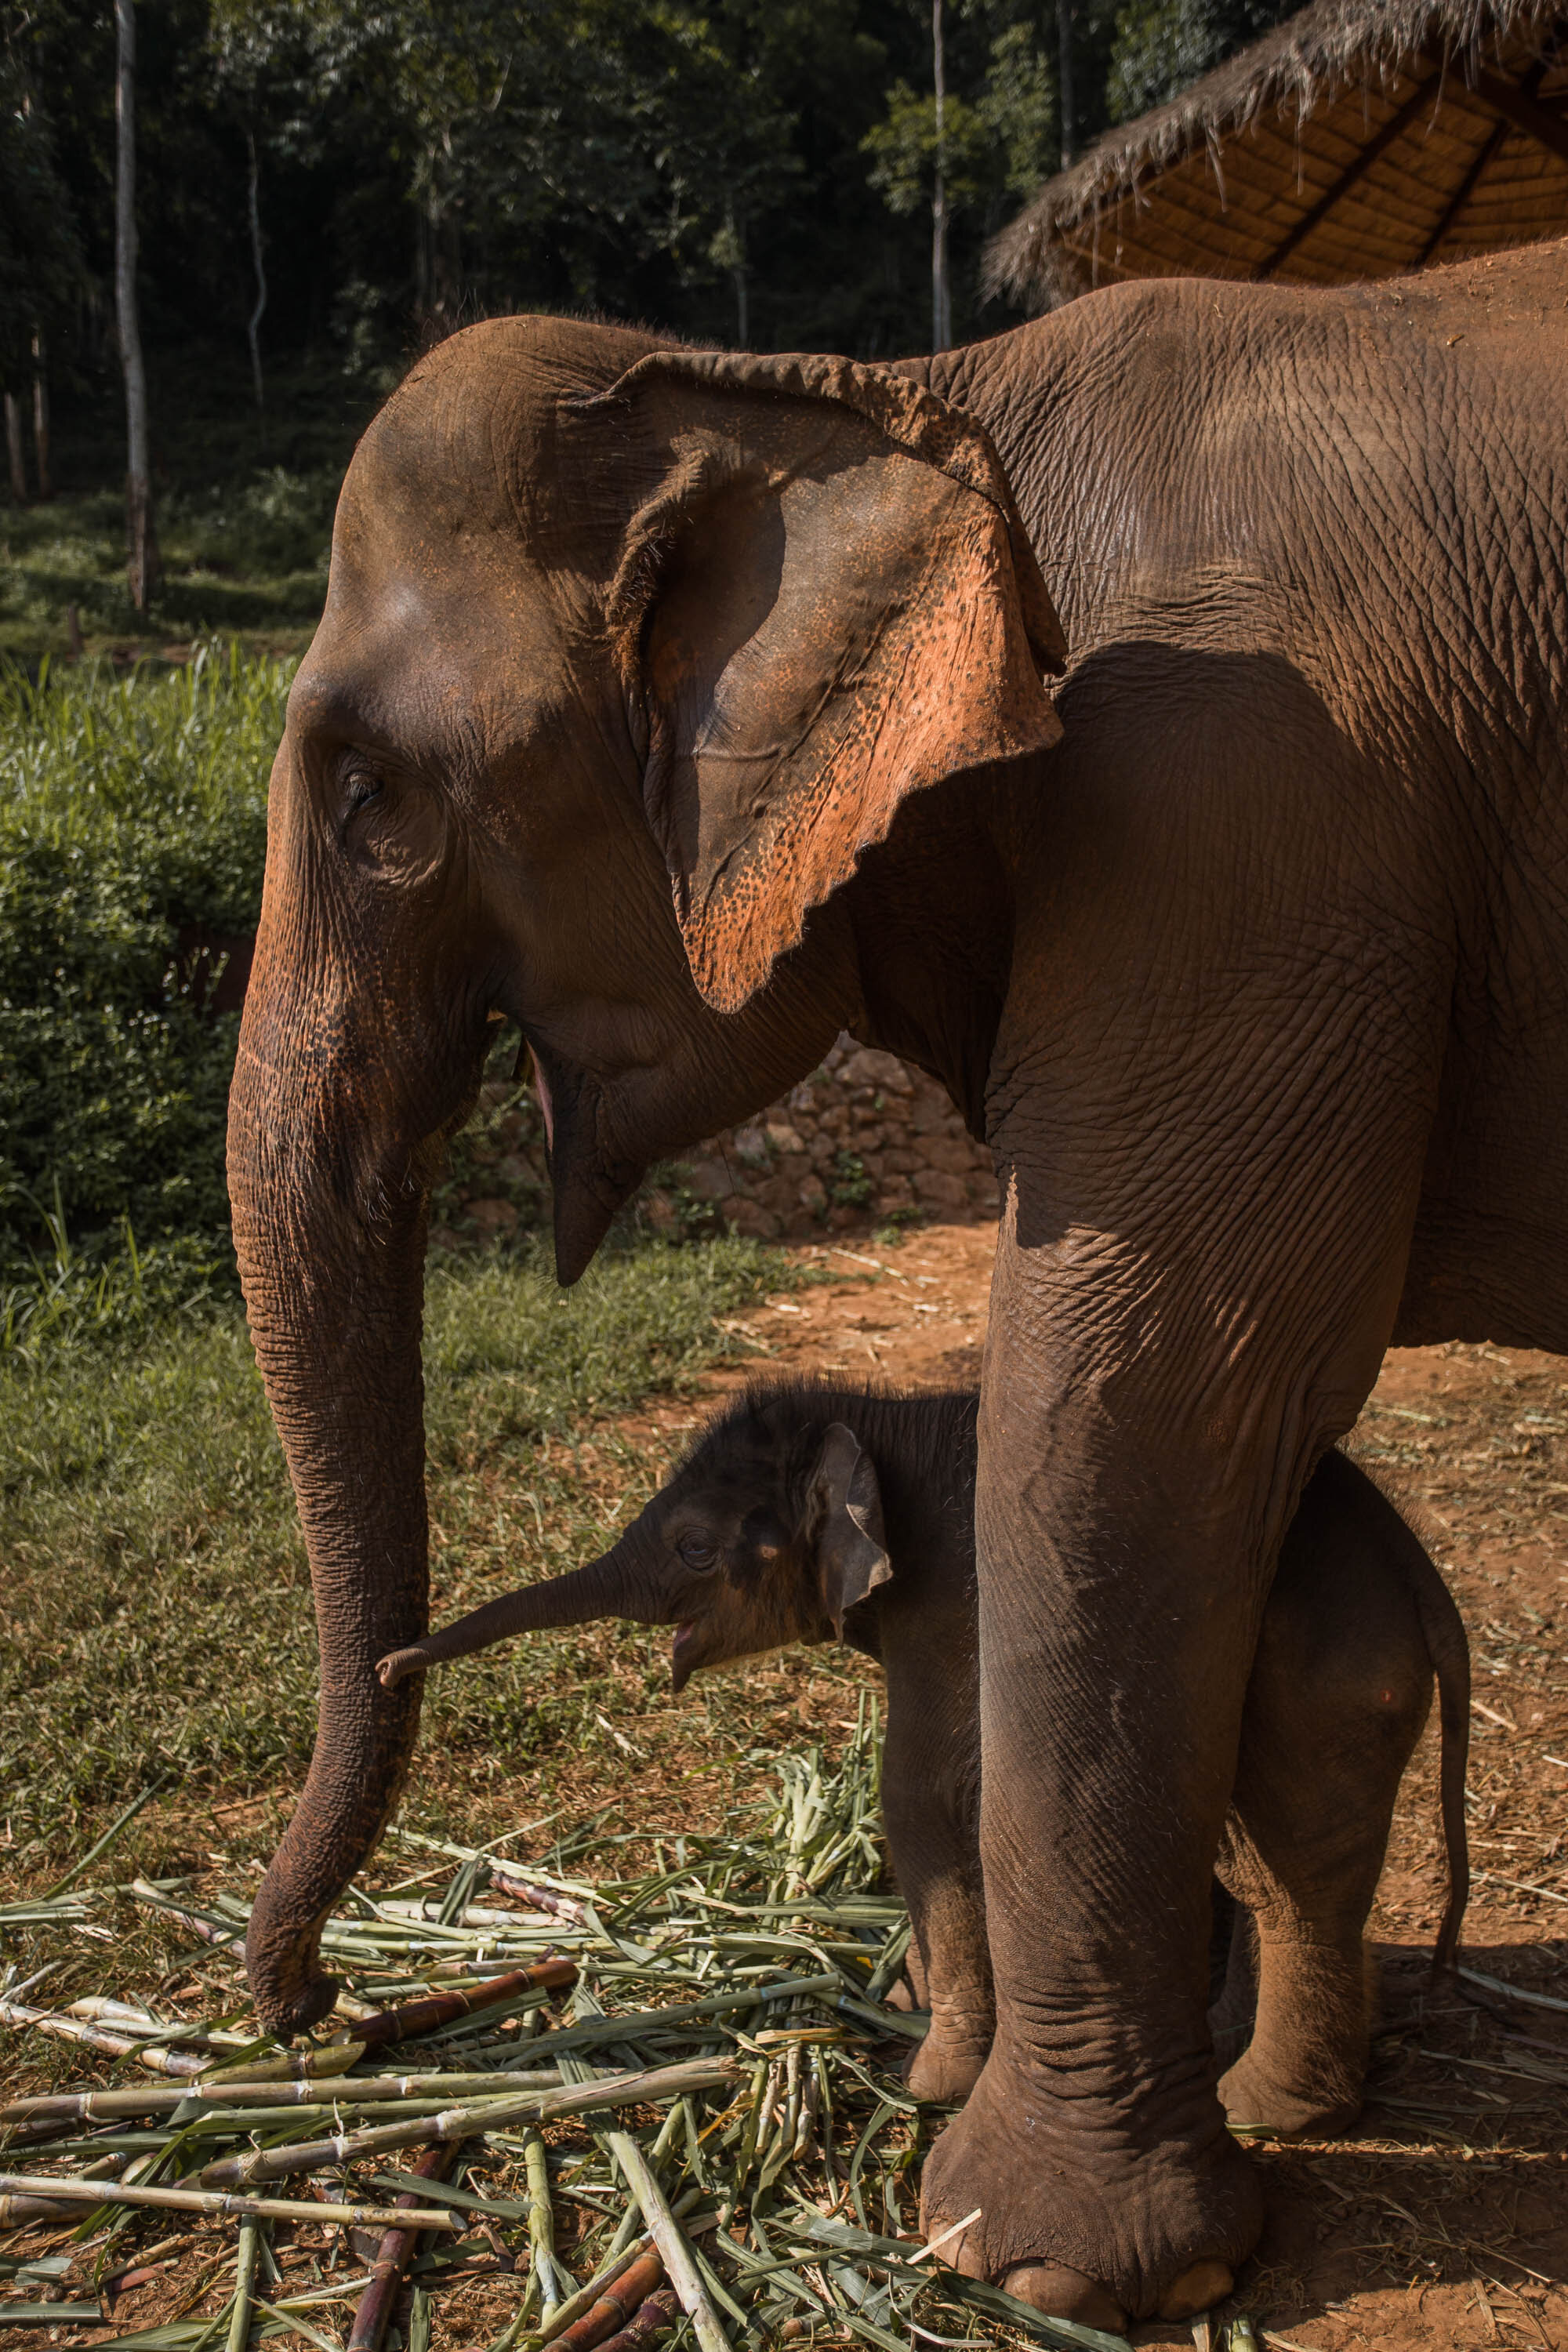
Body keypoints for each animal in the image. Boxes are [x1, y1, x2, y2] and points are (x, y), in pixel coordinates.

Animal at [383, 1374, 1476, 2136]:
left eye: (695, 1546)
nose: (393, 1668)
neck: (877, 1416)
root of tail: (1420, 1574)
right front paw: (902, 2005)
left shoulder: (948, 1602)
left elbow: (917, 1795)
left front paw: (930, 2084)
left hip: (1321, 1686)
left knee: (1282, 1880)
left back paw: (1263, 2113)